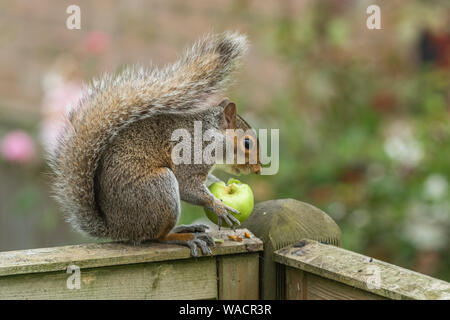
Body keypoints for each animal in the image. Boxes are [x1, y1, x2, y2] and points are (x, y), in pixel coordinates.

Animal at [47, 32, 262, 256]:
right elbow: (187, 185)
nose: (258, 169)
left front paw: (216, 183)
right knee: (157, 237)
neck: (210, 134)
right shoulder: (192, 154)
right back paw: (186, 238)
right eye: (247, 143)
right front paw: (218, 207)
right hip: (159, 190)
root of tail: (117, 227)